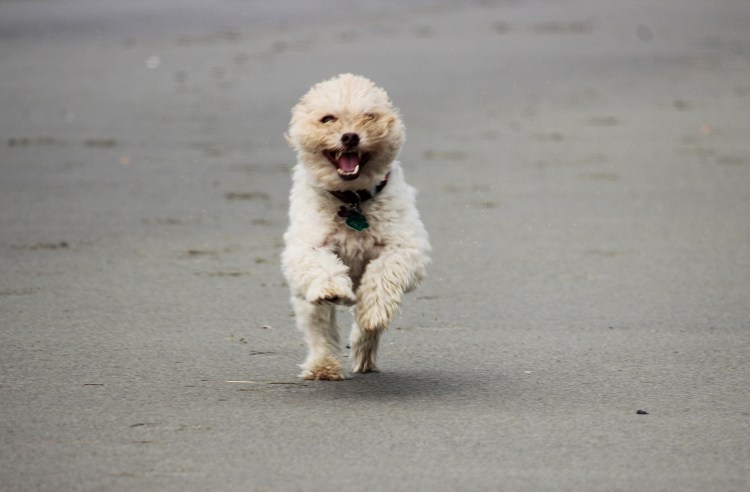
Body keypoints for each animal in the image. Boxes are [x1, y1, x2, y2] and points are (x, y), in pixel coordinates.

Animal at [284, 73, 434, 380]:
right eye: (327, 119)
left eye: (369, 116)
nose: (350, 136)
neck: (352, 198)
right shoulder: (305, 250)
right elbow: (321, 265)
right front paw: (332, 288)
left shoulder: (406, 249)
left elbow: (384, 274)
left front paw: (374, 310)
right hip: (307, 304)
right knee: (320, 331)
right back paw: (323, 365)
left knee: (366, 330)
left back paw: (364, 351)